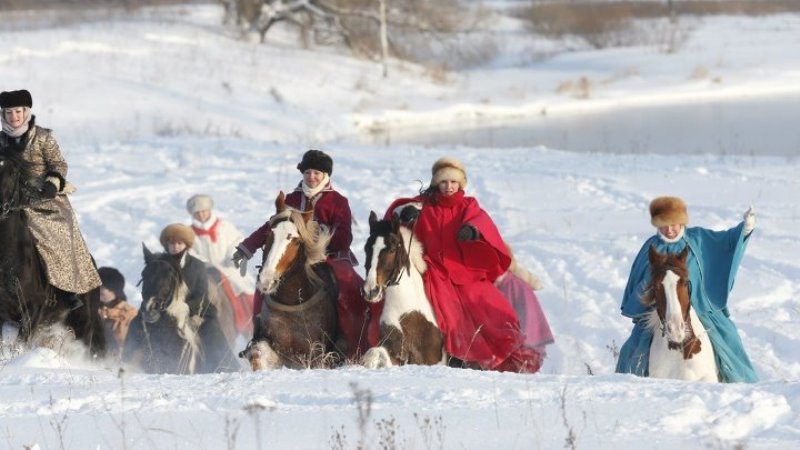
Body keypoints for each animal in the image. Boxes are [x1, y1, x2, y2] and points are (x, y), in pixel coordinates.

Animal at [238, 192, 338, 370]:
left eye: (296, 241)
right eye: (269, 235)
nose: (266, 279)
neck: (293, 304)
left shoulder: (316, 354)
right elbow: (258, 355)